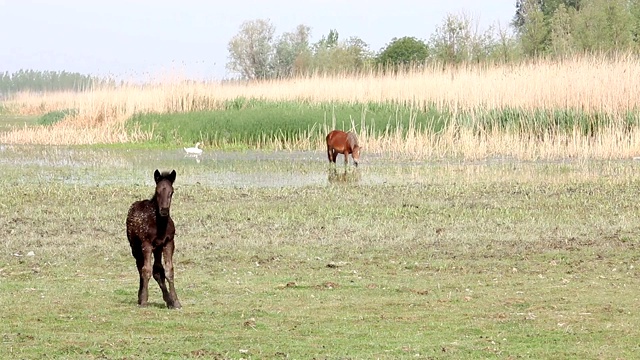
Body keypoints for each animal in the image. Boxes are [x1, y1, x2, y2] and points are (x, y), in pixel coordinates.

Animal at [125, 170, 181, 308]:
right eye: (157, 191)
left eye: (172, 192)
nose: (164, 210)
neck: (160, 224)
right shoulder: (146, 244)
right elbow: (146, 270)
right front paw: (144, 300)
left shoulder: (169, 243)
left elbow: (168, 270)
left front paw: (175, 301)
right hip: (135, 246)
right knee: (140, 267)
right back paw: (140, 297)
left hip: (157, 249)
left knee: (157, 270)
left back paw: (168, 300)